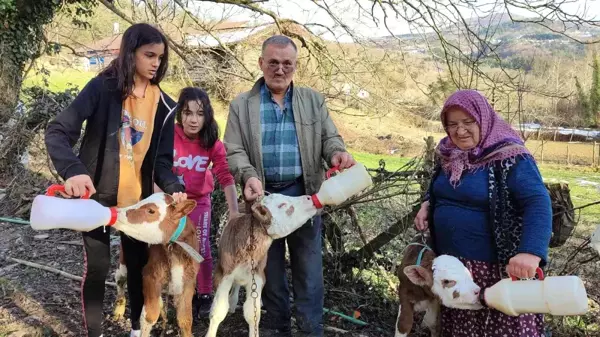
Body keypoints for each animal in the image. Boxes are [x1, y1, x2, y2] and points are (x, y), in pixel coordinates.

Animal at [108, 193, 202, 336]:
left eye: (151, 210)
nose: (116, 211)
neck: (173, 248)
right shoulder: (151, 275)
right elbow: (149, 316)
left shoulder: (188, 280)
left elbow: (185, 319)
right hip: (124, 258)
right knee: (119, 278)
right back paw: (119, 309)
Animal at [205, 193, 318, 336]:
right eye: (282, 205)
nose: (308, 197)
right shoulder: (223, 273)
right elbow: (218, 310)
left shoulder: (258, 276)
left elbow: (252, 313)